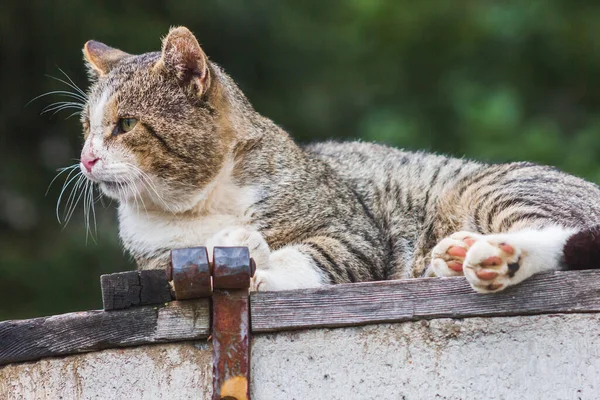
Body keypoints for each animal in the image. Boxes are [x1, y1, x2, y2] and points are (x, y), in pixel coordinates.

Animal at [75, 25, 600, 294]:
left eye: (125, 125)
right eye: (86, 126)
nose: (86, 159)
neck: (201, 204)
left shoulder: (354, 233)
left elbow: (314, 256)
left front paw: (254, 252)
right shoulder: (156, 261)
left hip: (491, 188)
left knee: (559, 235)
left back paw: (496, 256)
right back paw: (455, 256)